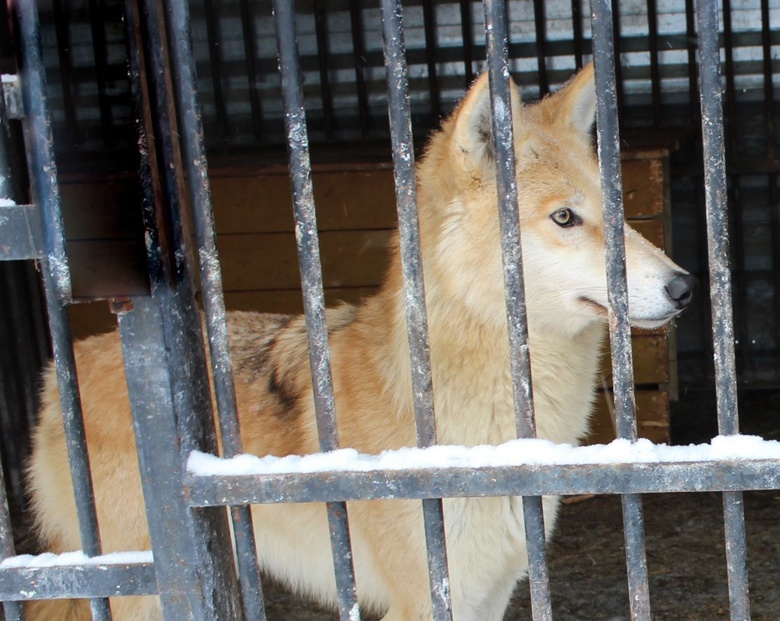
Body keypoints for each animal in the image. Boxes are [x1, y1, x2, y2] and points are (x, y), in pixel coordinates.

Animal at [25, 64, 696, 620]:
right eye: (564, 218)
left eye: (619, 213)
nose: (685, 287)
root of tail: (62, 367)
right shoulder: (431, 598)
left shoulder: (492, 589)